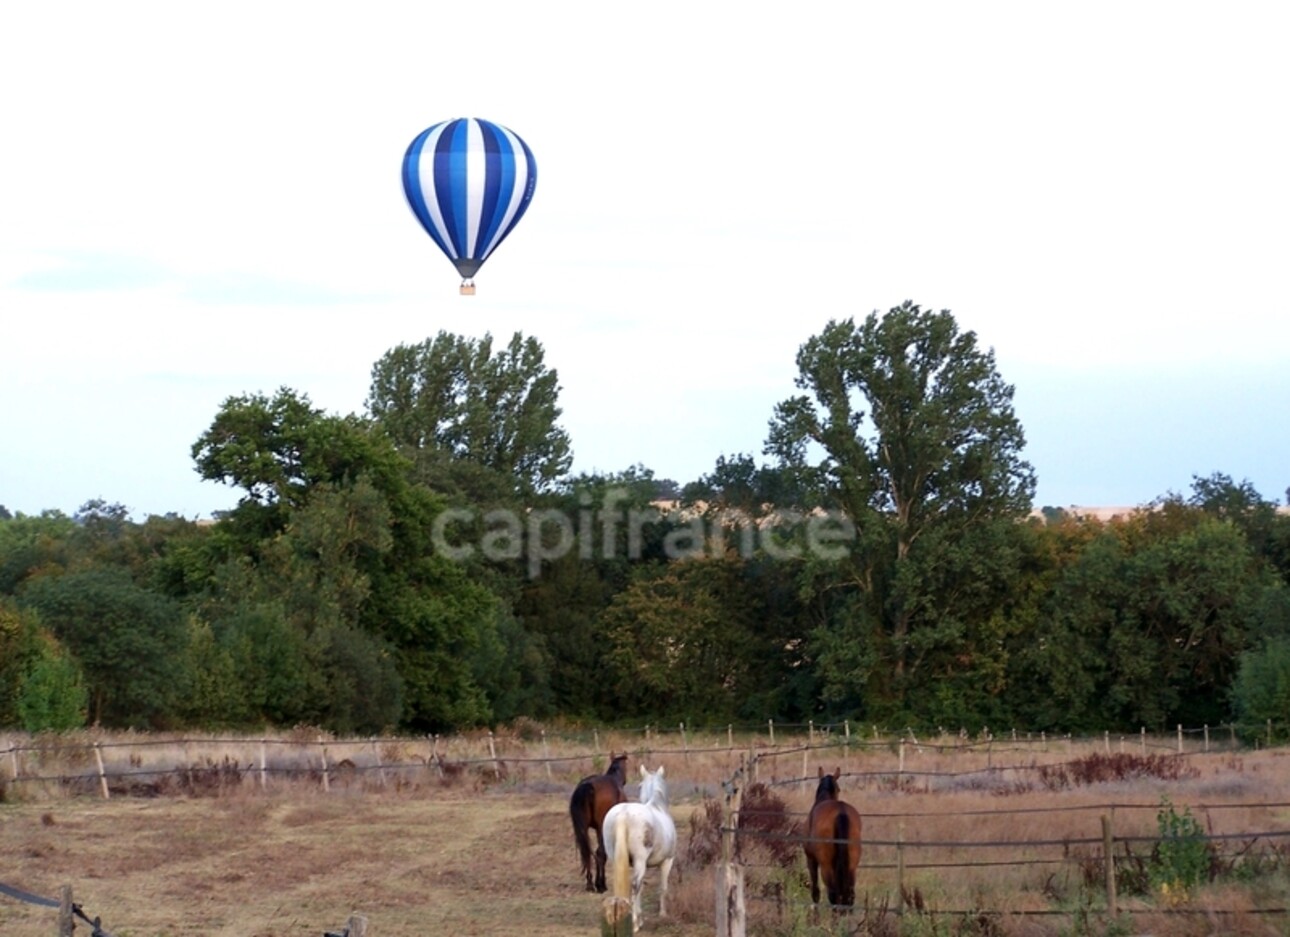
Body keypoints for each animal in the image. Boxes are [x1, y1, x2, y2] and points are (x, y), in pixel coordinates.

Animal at [567, 753, 626, 893]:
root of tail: (587, 786)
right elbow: (602, 852)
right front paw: (601, 883)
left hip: (582, 829)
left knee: (586, 852)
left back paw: (589, 883)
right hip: (600, 827)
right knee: (599, 853)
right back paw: (600, 884)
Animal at [603, 769, 681, 934]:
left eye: (639, 786)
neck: (658, 806)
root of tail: (623, 815)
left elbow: (642, 889)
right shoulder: (667, 862)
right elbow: (662, 888)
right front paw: (662, 914)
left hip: (616, 859)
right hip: (640, 860)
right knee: (635, 885)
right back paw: (634, 924)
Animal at [799, 769, 861, 908]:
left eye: (838, 789)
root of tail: (841, 812)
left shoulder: (811, 859)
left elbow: (815, 891)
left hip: (826, 865)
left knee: (833, 894)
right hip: (852, 865)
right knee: (850, 895)